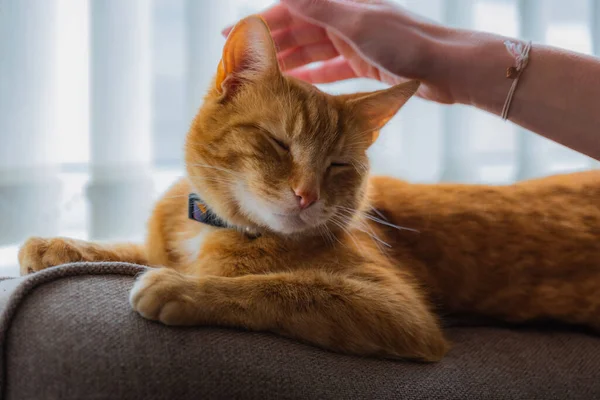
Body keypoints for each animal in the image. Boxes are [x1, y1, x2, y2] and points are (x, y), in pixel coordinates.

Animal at [18, 15, 600, 360]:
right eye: (278, 142)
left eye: (339, 164)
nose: (306, 195)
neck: (214, 229)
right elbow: (131, 248)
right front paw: (59, 245)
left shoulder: (400, 312)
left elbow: (285, 287)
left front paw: (184, 288)